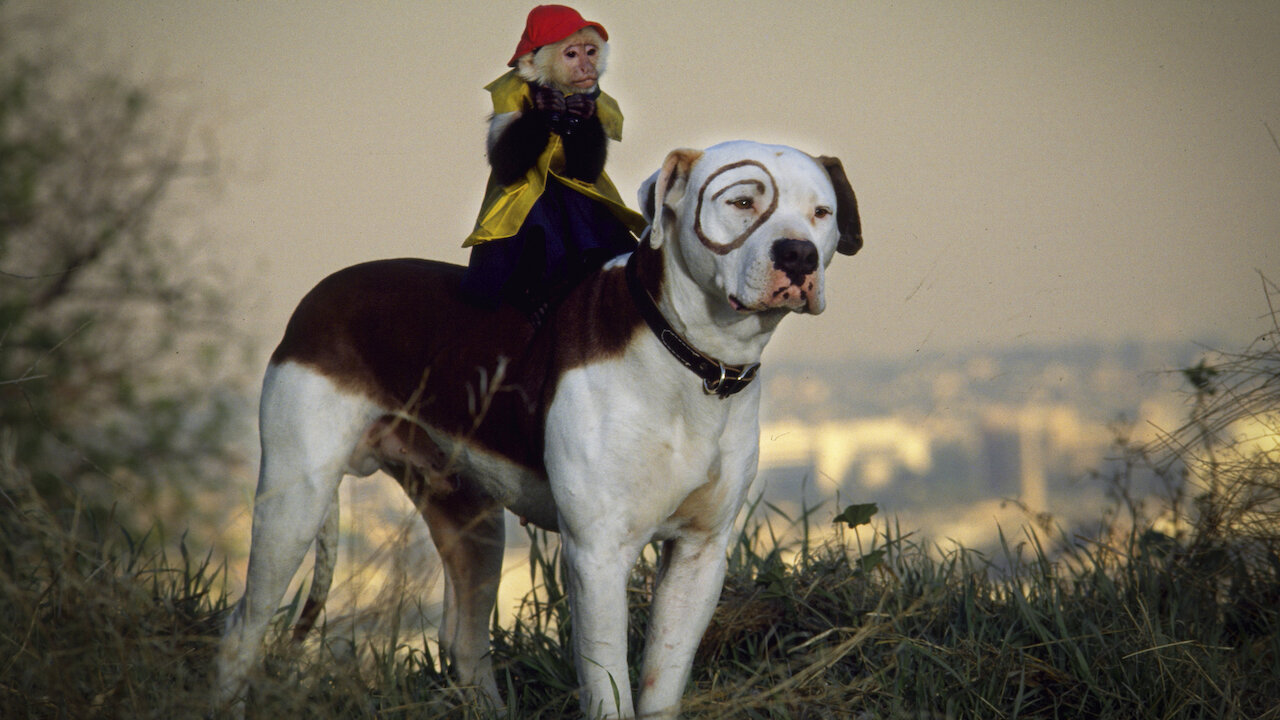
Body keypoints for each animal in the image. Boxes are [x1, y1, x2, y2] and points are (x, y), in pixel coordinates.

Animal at [217, 141, 860, 717]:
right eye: (743, 201)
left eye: (821, 213)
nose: (798, 255)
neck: (689, 357)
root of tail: (319, 296)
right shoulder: (598, 554)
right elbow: (609, 689)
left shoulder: (700, 554)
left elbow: (662, 684)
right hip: (295, 502)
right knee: (242, 626)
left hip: (472, 523)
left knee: (465, 643)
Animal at [486, 26, 611, 185]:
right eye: (572, 54)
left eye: (590, 52)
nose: (588, 68)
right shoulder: (511, 94)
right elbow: (504, 170)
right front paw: (545, 106)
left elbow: (584, 175)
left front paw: (583, 109)